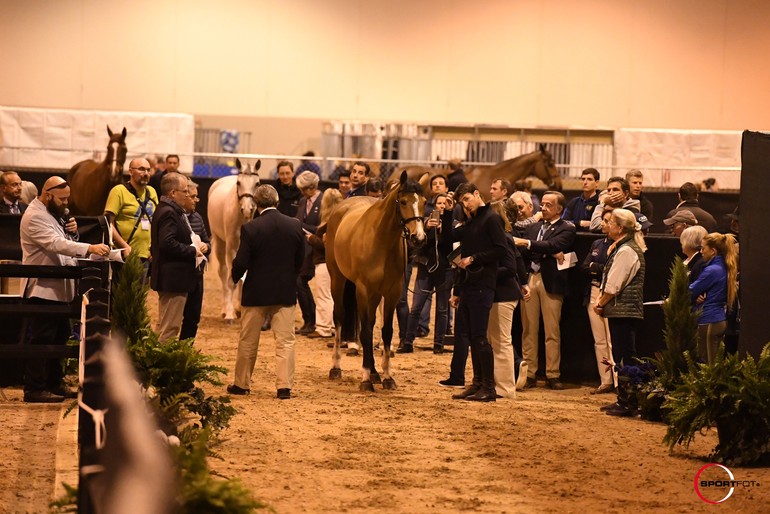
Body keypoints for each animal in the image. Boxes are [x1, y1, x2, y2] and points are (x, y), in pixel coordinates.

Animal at [207, 158, 260, 322]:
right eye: (239, 183)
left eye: (257, 183)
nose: (247, 209)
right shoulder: (231, 248)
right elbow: (231, 280)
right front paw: (230, 313)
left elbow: (244, 276)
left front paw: (240, 308)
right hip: (219, 242)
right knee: (223, 272)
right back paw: (225, 310)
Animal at [326, 168, 432, 388]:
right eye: (403, 201)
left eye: (425, 201)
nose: (419, 238)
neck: (381, 240)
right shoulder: (363, 290)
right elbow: (365, 332)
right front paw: (366, 378)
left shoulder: (392, 293)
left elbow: (386, 331)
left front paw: (387, 376)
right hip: (338, 279)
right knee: (339, 316)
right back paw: (336, 367)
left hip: (375, 295)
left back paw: (375, 373)